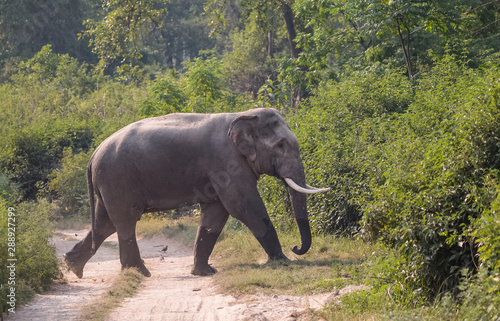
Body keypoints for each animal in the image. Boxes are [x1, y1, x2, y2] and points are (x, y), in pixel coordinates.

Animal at [64, 108, 330, 278]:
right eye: (280, 146)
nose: (295, 248)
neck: (243, 115)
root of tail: (93, 155)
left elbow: (216, 214)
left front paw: (205, 273)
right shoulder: (227, 161)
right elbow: (244, 207)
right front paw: (283, 262)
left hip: (109, 182)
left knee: (105, 223)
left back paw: (74, 268)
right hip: (117, 178)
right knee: (125, 220)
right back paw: (141, 273)